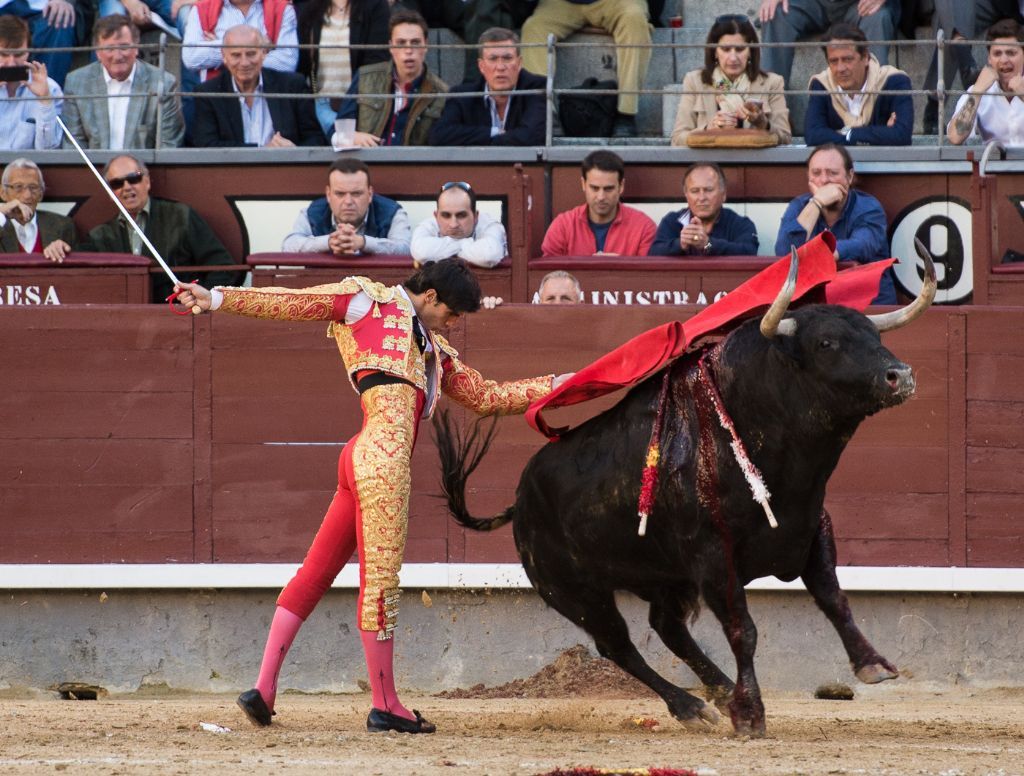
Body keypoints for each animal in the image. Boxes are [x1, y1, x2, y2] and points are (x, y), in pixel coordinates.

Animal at [436, 248, 937, 737]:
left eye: (873, 334)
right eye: (826, 343)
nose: (900, 375)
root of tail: (519, 501)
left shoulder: (812, 529)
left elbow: (834, 598)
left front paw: (873, 664)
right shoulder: (714, 557)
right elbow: (743, 630)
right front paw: (749, 714)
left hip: (663, 579)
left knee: (666, 628)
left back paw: (718, 690)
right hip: (574, 591)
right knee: (619, 647)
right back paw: (692, 704)